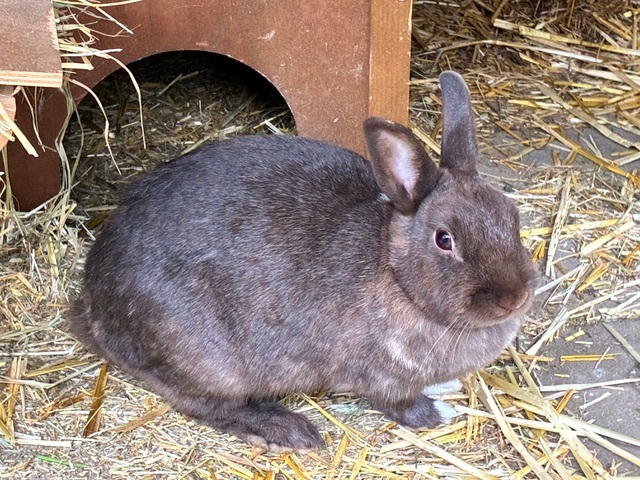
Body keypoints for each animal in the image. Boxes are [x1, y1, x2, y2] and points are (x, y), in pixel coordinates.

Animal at [68, 71, 537, 451]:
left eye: (511, 215)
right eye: (444, 240)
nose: (513, 298)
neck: (396, 275)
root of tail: (93, 307)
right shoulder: (381, 379)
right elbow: (400, 404)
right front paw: (437, 412)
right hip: (206, 361)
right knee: (206, 406)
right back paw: (290, 431)